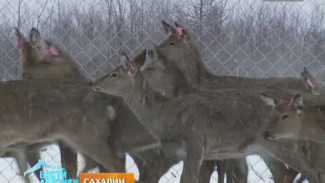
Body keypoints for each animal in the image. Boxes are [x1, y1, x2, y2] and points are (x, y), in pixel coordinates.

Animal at [91, 52, 322, 182]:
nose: (94, 82)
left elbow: (188, 179)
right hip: (266, 148)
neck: (163, 117)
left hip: (283, 143)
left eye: (114, 74)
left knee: (311, 171)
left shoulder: (194, 143)